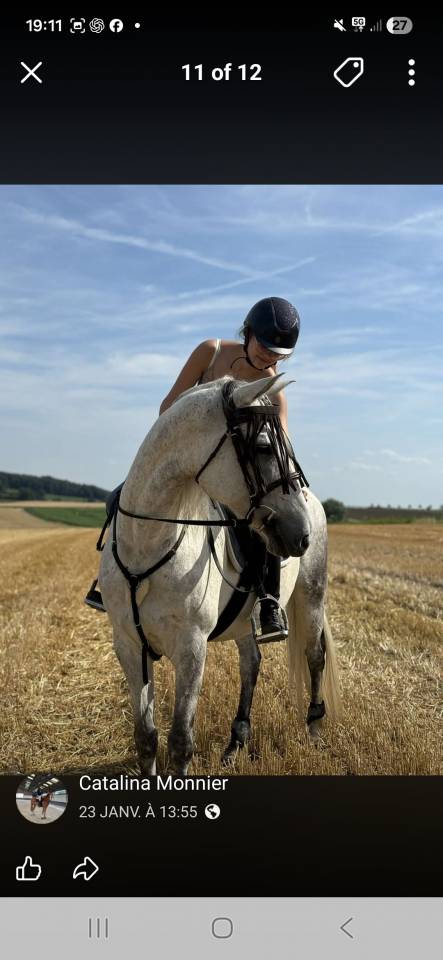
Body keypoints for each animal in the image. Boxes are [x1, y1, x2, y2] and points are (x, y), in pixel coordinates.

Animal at [99, 373, 341, 775]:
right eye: (262, 446)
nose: (301, 535)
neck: (148, 543)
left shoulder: (191, 648)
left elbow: (181, 740)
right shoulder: (129, 645)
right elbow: (145, 737)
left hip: (311, 596)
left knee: (314, 655)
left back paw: (315, 729)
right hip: (244, 618)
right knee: (251, 664)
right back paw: (235, 743)